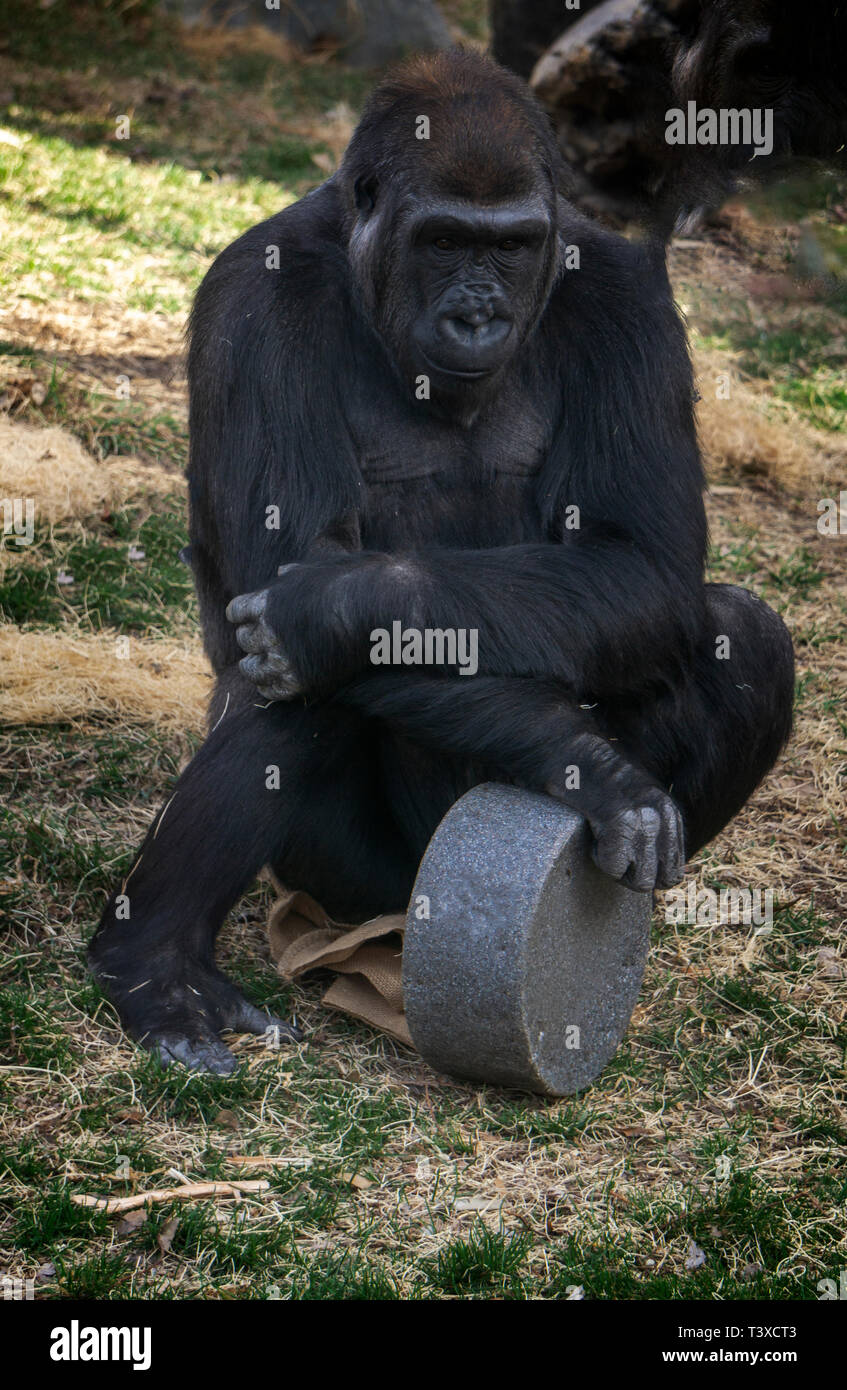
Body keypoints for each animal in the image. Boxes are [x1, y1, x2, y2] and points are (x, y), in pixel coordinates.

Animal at [87, 48, 789, 1073]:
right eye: (445, 242)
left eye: (511, 247)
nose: (477, 315)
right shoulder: (254, 298)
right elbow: (290, 567)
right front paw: (591, 767)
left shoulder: (625, 294)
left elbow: (644, 565)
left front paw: (342, 604)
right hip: (354, 881)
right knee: (289, 681)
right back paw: (155, 963)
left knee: (742, 632)